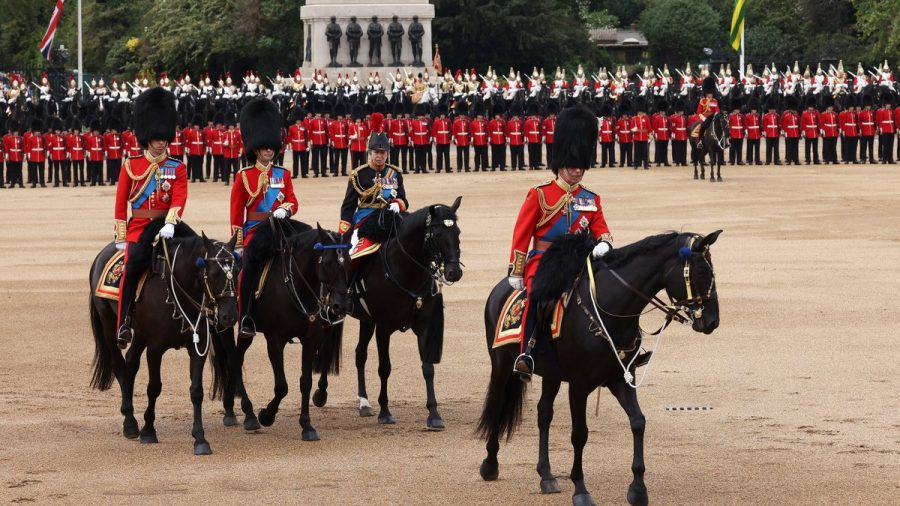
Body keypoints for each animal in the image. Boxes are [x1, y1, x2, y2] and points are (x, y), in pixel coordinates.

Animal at [89, 221, 239, 454]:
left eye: (237, 270)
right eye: (214, 272)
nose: (229, 316)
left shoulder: (198, 347)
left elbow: (196, 391)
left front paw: (200, 438)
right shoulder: (155, 348)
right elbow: (154, 387)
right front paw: (148, 430)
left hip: (140, 333)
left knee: (131, 363)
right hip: (108, 323)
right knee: (119, 365)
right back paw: (130, 422)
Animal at [220, 219, 354, 440]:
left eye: (349, 261)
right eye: (327, 262)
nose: (340, 306)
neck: (296, 284)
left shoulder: (310, 339)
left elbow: (305, 381)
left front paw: (307, 425)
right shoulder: (275, 340)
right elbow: (282, 386)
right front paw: (266, 415)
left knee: (236, 359)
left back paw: (231, 409)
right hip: (232, 326)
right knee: (234, 360)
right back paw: (248, 414)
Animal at [312, 198, 460, 430]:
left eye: (457, 232)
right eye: (437, 234)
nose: (455, 272)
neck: (405, 269)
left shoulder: (423, 326)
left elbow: (427, 367)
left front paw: (434, 414)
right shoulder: (384, 328)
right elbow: (385, 368)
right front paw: (385, 412)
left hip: (366, 320)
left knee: (360, 354)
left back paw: (364, 403)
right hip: (332, 311)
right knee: (328, 349)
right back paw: (321, 393)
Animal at [478, 231, 724, 504]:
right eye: (701, 271)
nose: (712, 321)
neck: (613, 311)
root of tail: (501, 288)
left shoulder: (621, 378)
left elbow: (638, 422)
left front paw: (638, 489)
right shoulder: (578, 386)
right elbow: (579, 434)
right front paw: (580, 488)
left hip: (552, 374)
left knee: (544, 414)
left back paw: (546, 475)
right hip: (501, 364)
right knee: (498, 404)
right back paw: (490, 464)